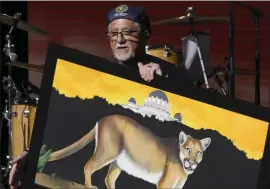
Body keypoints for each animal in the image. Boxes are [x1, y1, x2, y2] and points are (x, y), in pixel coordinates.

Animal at [46, 114, 211, 189]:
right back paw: (89, 186)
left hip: (119, 161)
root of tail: (102, 119)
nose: (192, 163)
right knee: (88, 166)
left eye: (199, 152)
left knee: (109, 179)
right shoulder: (164, 184)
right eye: (188, 149)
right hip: (108, 151)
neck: (183, 169)